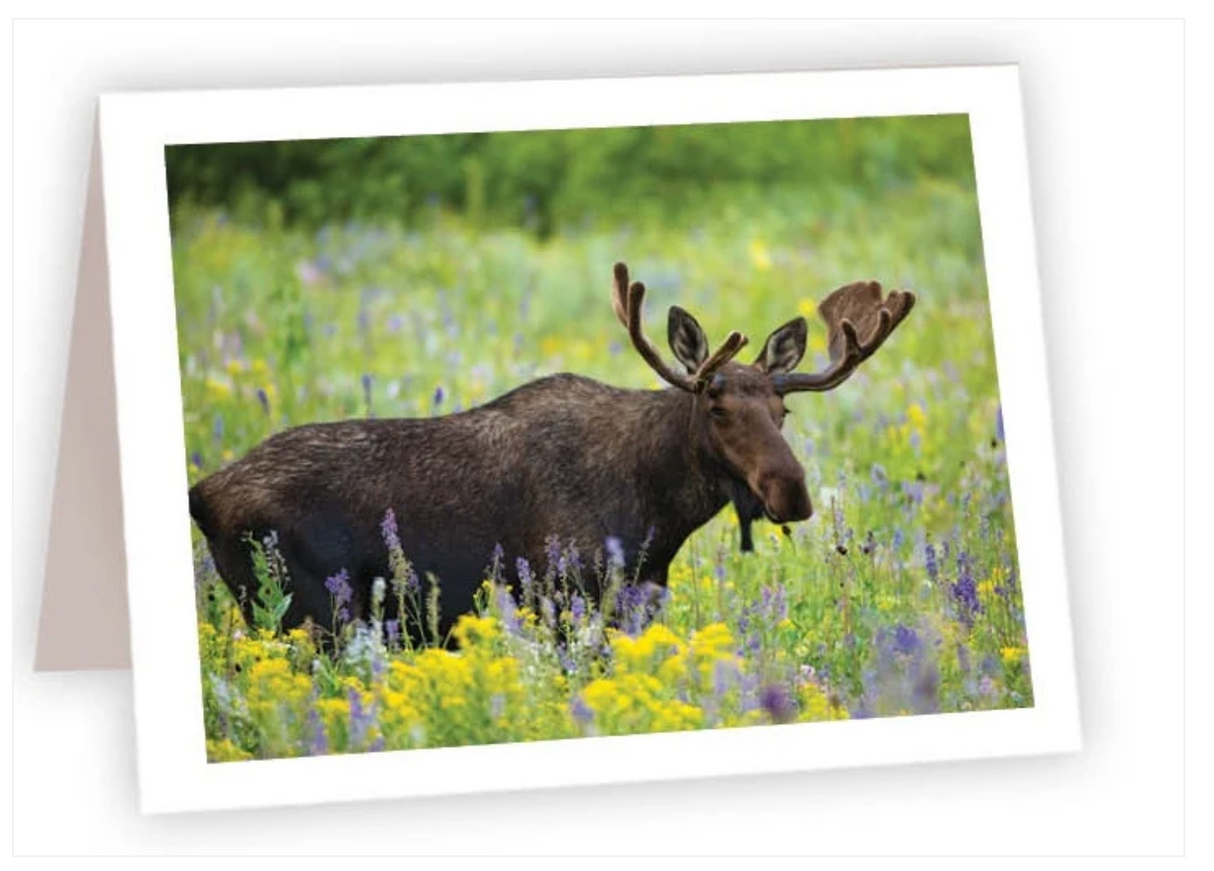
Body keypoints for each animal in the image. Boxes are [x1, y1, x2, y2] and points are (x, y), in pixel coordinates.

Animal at [188, 262, 914, 643]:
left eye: (783, 411)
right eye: (716, 406)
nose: (791, 490)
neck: (657, 516)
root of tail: (201, 493)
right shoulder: (562, 596)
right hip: (304, 613)